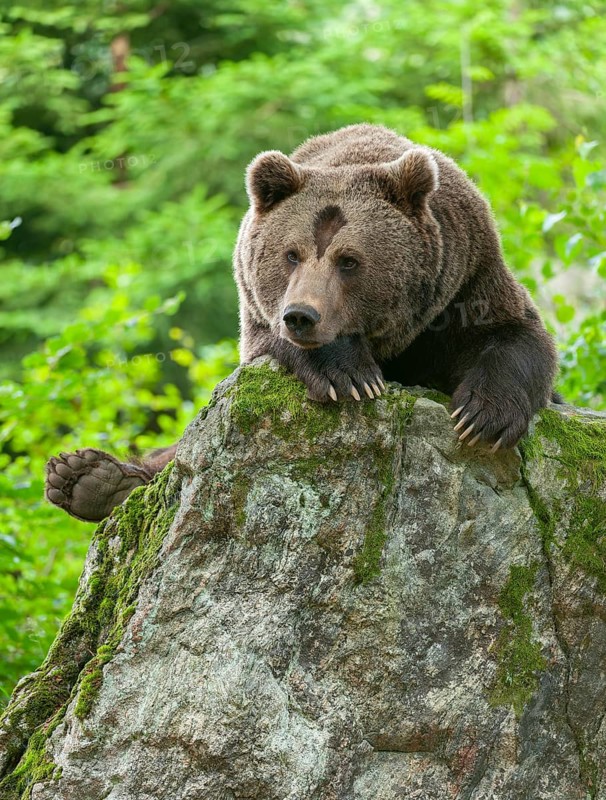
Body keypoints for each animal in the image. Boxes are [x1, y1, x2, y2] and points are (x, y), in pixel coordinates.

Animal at [45, 123, 558, 522]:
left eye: (348, 260)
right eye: (291, 254)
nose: (301, 316)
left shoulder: (464, 278)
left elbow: (516, 334)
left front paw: (482, 415)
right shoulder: (256, 308)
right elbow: (275, 347)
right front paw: (349, 374)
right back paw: (86, 477)